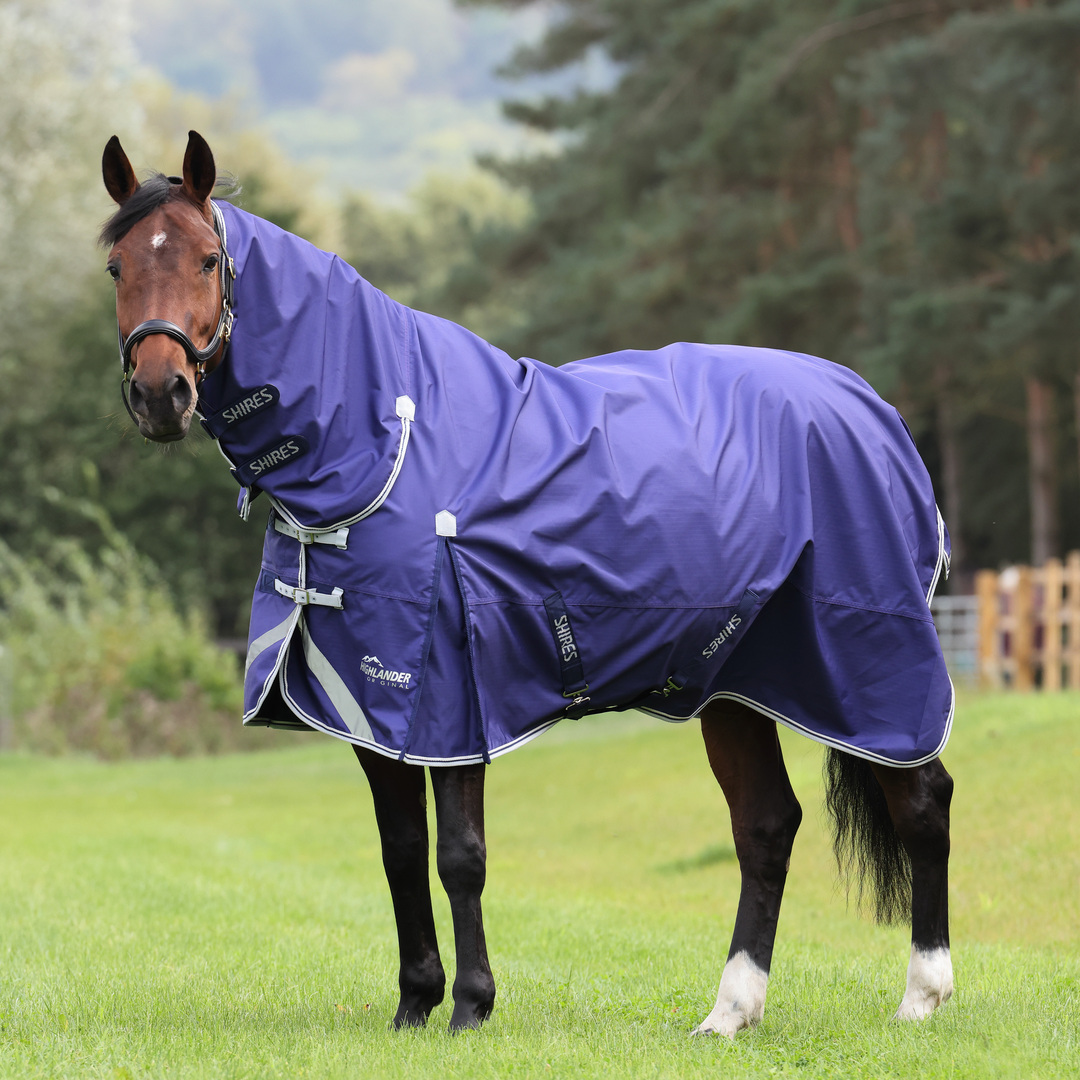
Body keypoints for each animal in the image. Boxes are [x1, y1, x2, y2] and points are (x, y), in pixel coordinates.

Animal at [100, 130, 955, 1036]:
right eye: (118, 265)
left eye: (207, 258)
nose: (159, 393)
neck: (384, 444)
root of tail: (870, 407)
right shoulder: (369, 706)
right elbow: (400, 851)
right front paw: (414, 1004)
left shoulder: (453, 698)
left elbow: (460, 856)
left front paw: (471, 1006)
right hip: (737, 682)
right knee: (766, 824)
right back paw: (730, 1010)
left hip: (872, 668)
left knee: (922, 800)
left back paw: (922, 995)